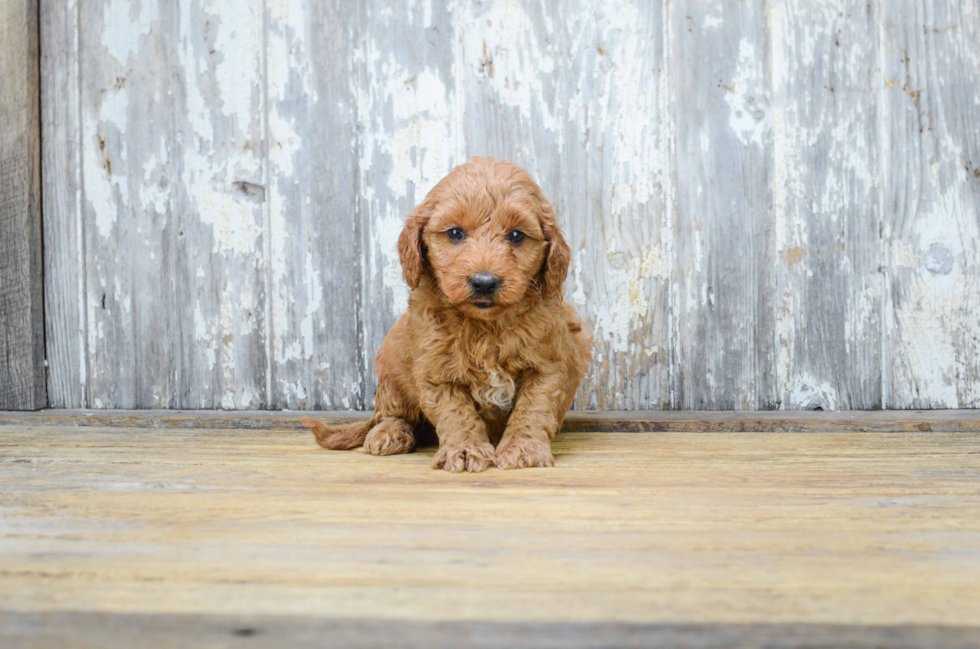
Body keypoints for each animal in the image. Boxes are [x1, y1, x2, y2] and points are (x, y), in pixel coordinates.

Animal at [300, 157, 588, 470]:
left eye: (516, 235)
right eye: (455, 233)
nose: (484, 282)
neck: (486, 327)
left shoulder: (548, 364)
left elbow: (533, 409)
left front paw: (523, 450)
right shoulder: (436, 369)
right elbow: (456, 413)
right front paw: (465, 450)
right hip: (391, 365)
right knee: (390, 413)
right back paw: (390, 432)